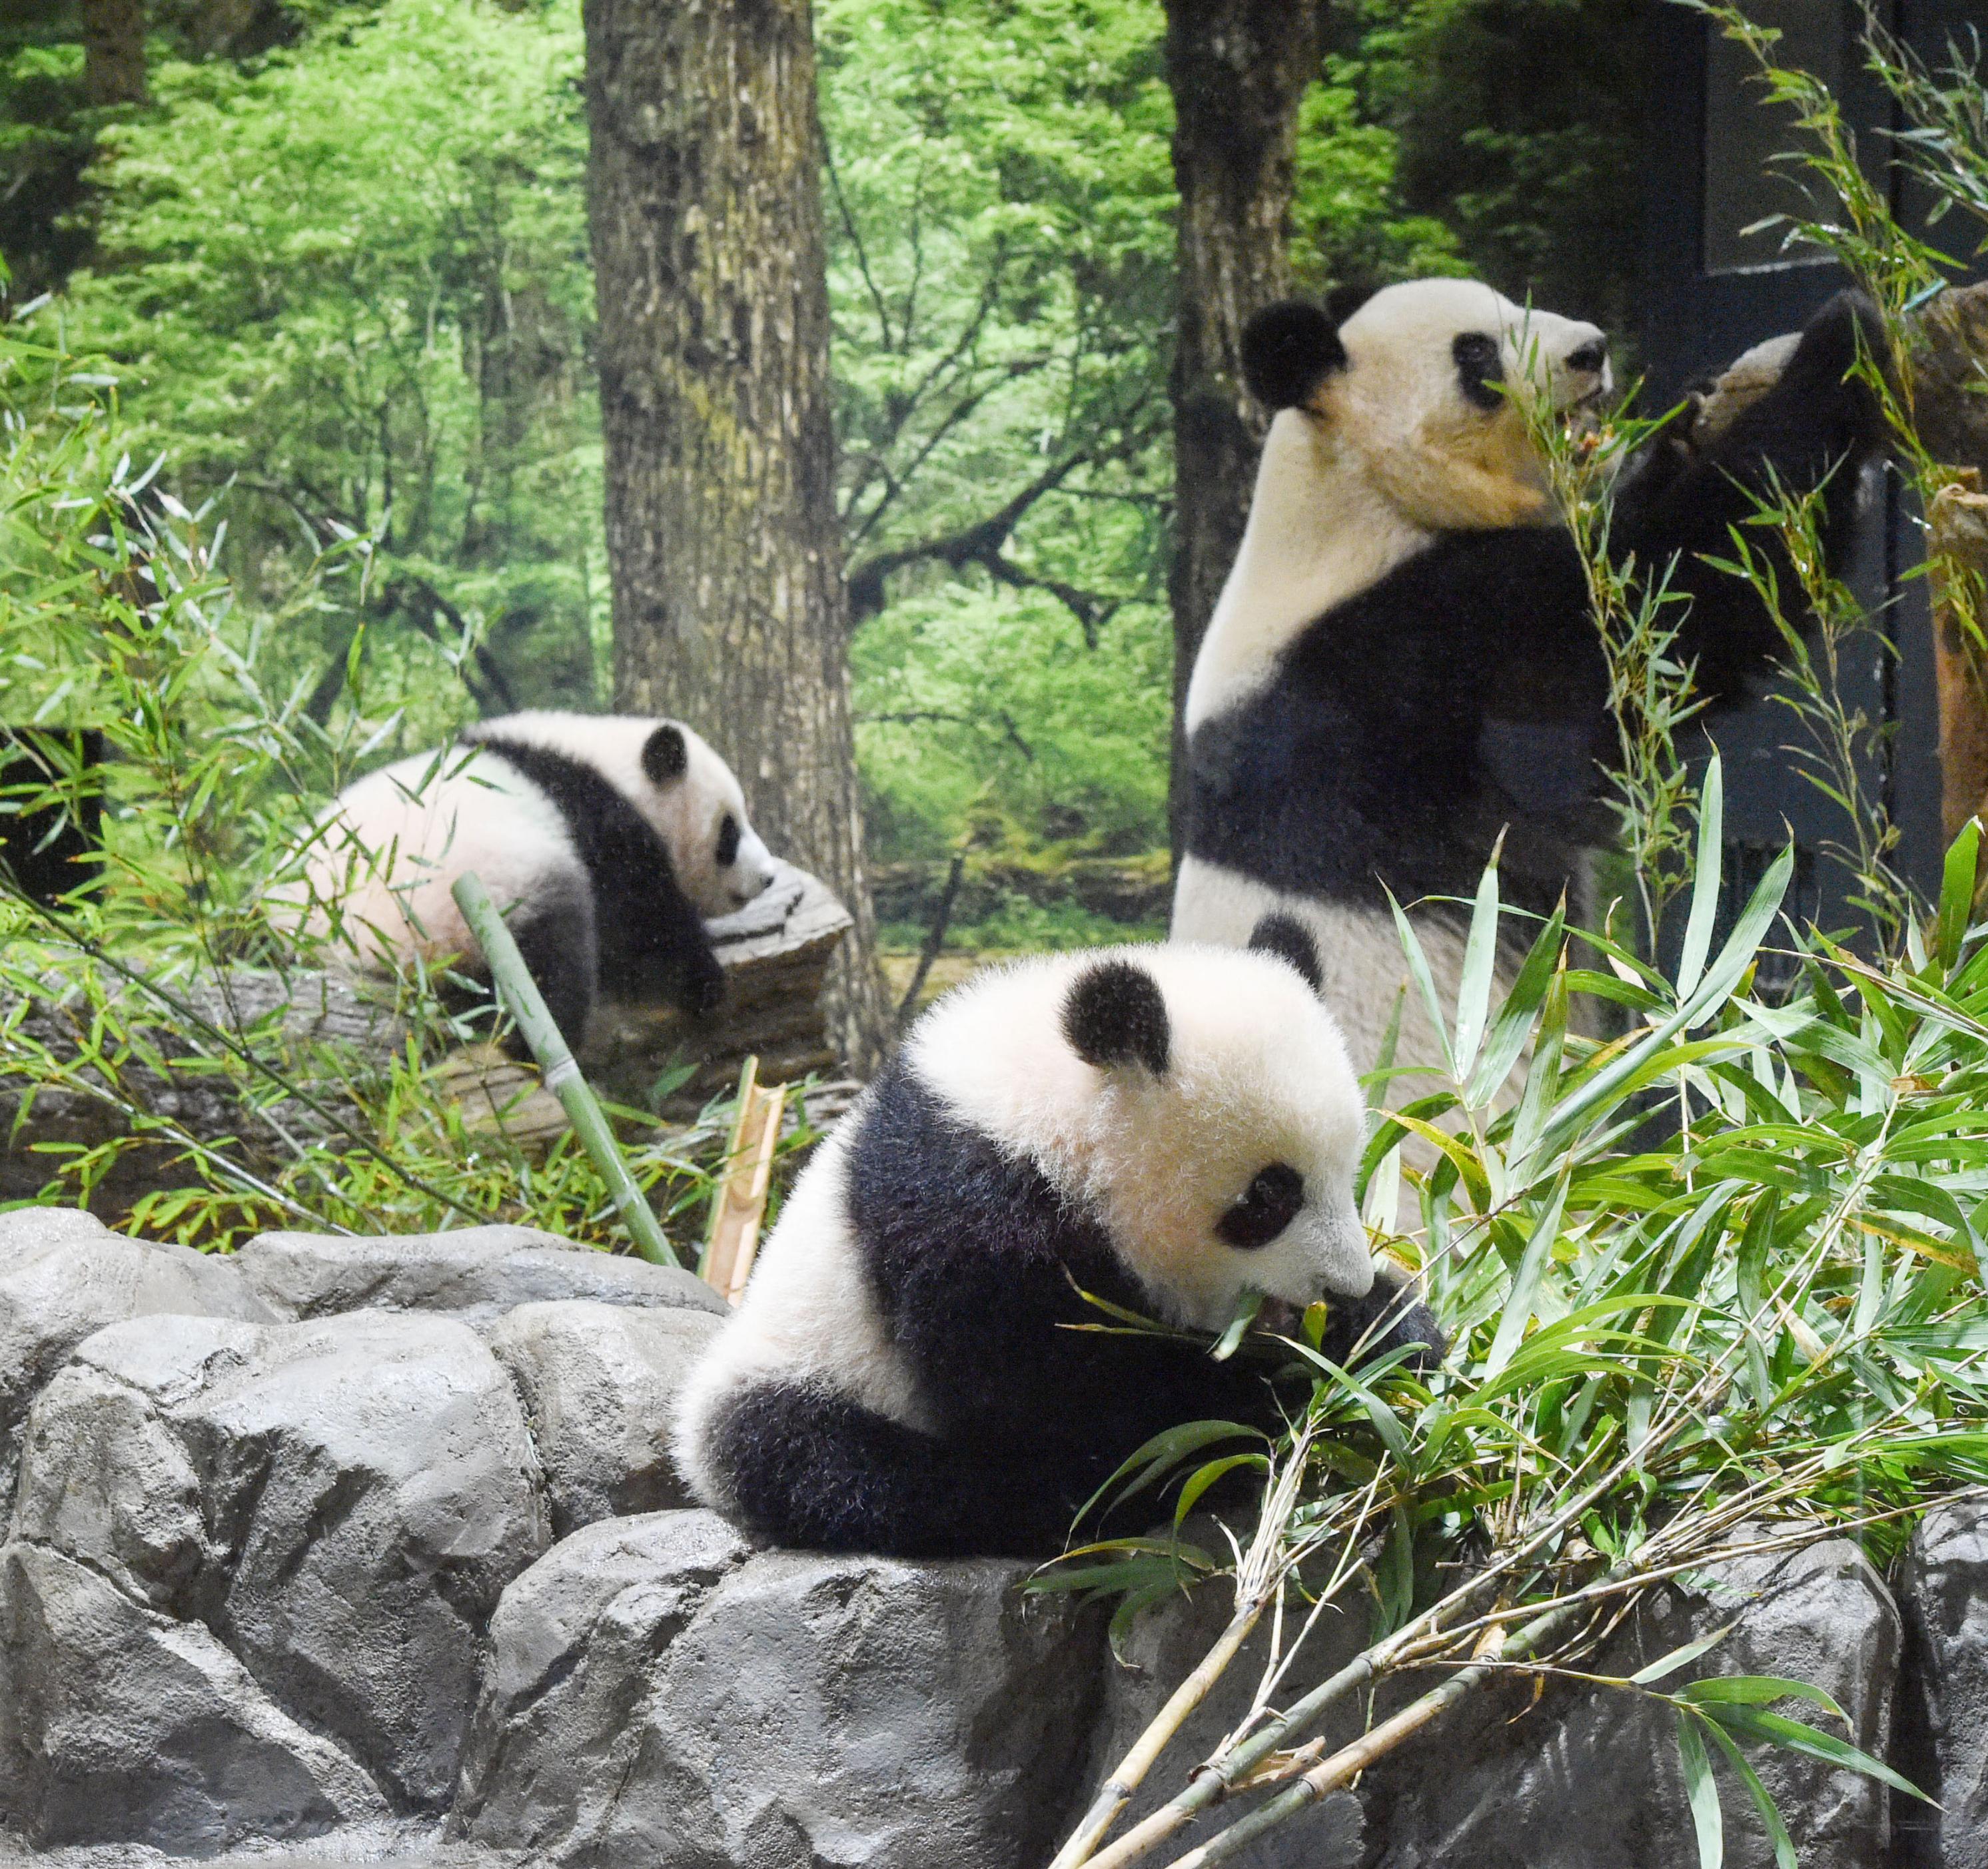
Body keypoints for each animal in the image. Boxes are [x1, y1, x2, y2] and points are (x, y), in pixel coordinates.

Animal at [294, 707, 775, 1042]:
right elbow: (640, 915)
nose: (768, 877)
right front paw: (703, 979)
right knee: (550, 957)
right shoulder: (594, 821)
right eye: (730, 831)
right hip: (474, 901)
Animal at [676, 911, 1439, 1559]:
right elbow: (1062, 1400)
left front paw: (1386, 1327)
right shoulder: (967, 1222)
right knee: (836, 1464)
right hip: (799, 1376)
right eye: (1269, 1196)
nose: (1344, 1285)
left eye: (1350, 1168)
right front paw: (1269, 1388)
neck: (1045, 1116)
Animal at [1169, 274, 1884, 1066]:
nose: (1590, 351)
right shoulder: (1399, 666)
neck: (1357, 495)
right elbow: (1668, 603)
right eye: (1476, 352)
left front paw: (1689, 420)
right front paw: (1841, 340)